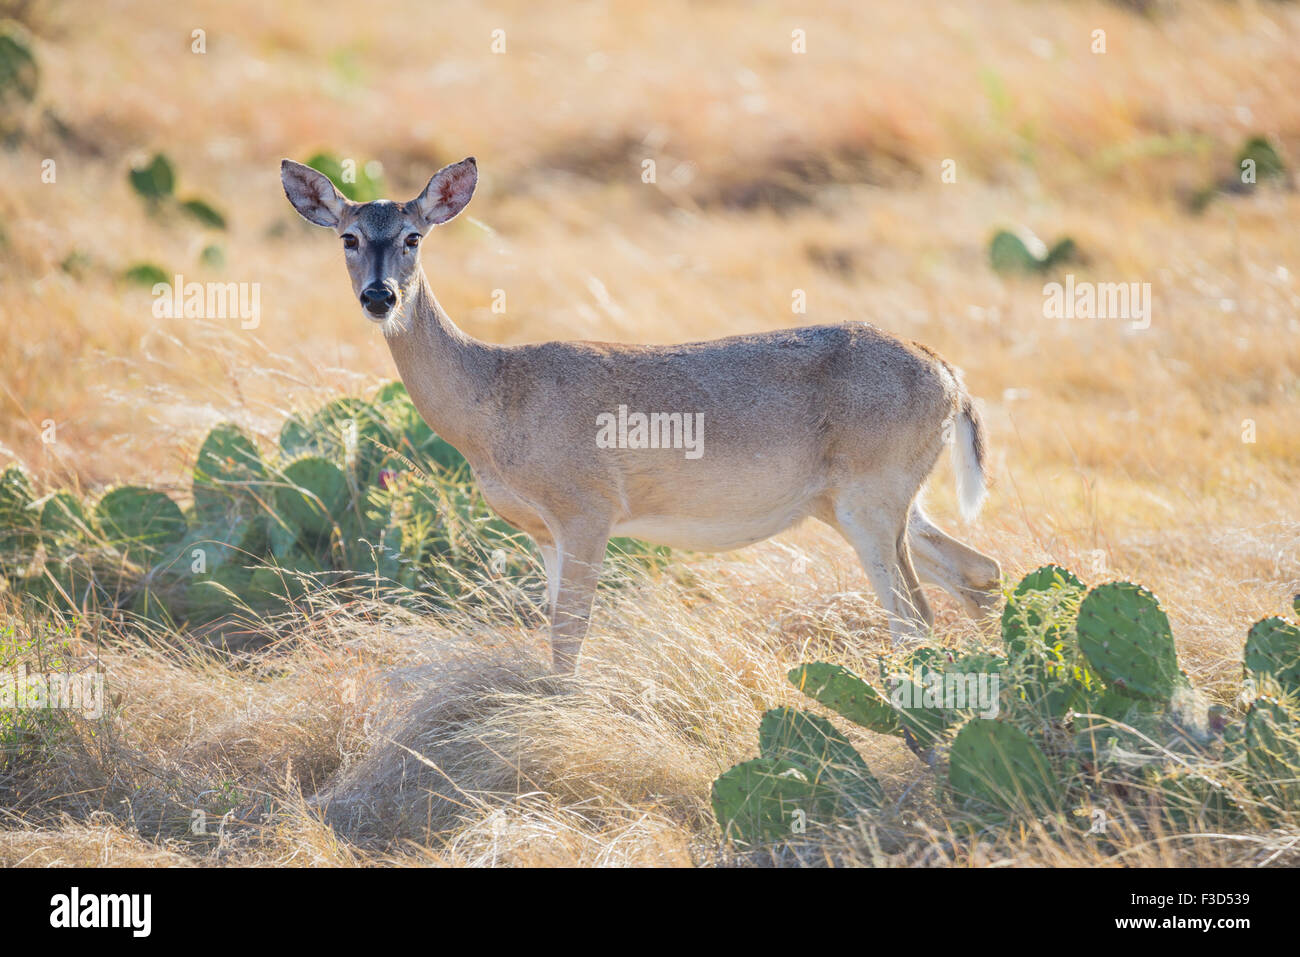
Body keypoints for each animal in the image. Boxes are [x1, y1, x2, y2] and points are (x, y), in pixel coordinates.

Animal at [281, 156, 1002, 674]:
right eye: (348, 237)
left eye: (413, 236)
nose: (380, 297)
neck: (494, 398)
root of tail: (949, 376)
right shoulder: (542, 532)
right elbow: (556, 631)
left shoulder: (588, 507)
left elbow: (569, 638)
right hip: (865, 502)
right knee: (977, 571)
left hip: (870, 498)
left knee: (915, 615)